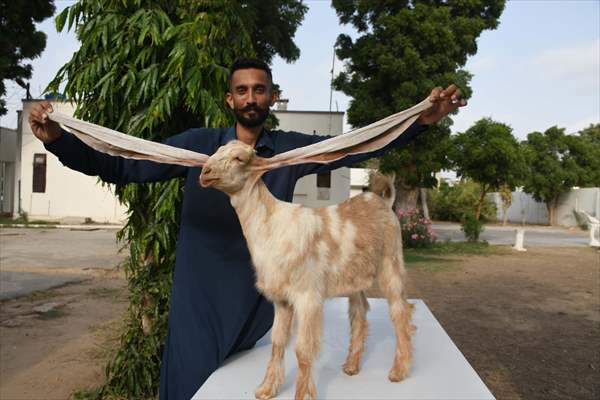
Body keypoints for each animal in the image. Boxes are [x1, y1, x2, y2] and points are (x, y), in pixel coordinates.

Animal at [199, 141, 414, 400]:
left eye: (239, 158)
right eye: (217, 150)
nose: (205, 172)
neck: (272, 226)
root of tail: (385, 203)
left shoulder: (307, 296)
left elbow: (303, 350)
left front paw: (302, 395)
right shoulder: (282, 300)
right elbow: (277, 342)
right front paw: (267, 388)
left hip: (391, 262)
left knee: (400, 311)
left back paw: (398, 371)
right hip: (354, 277)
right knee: (359, 312)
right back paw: (352, 365)